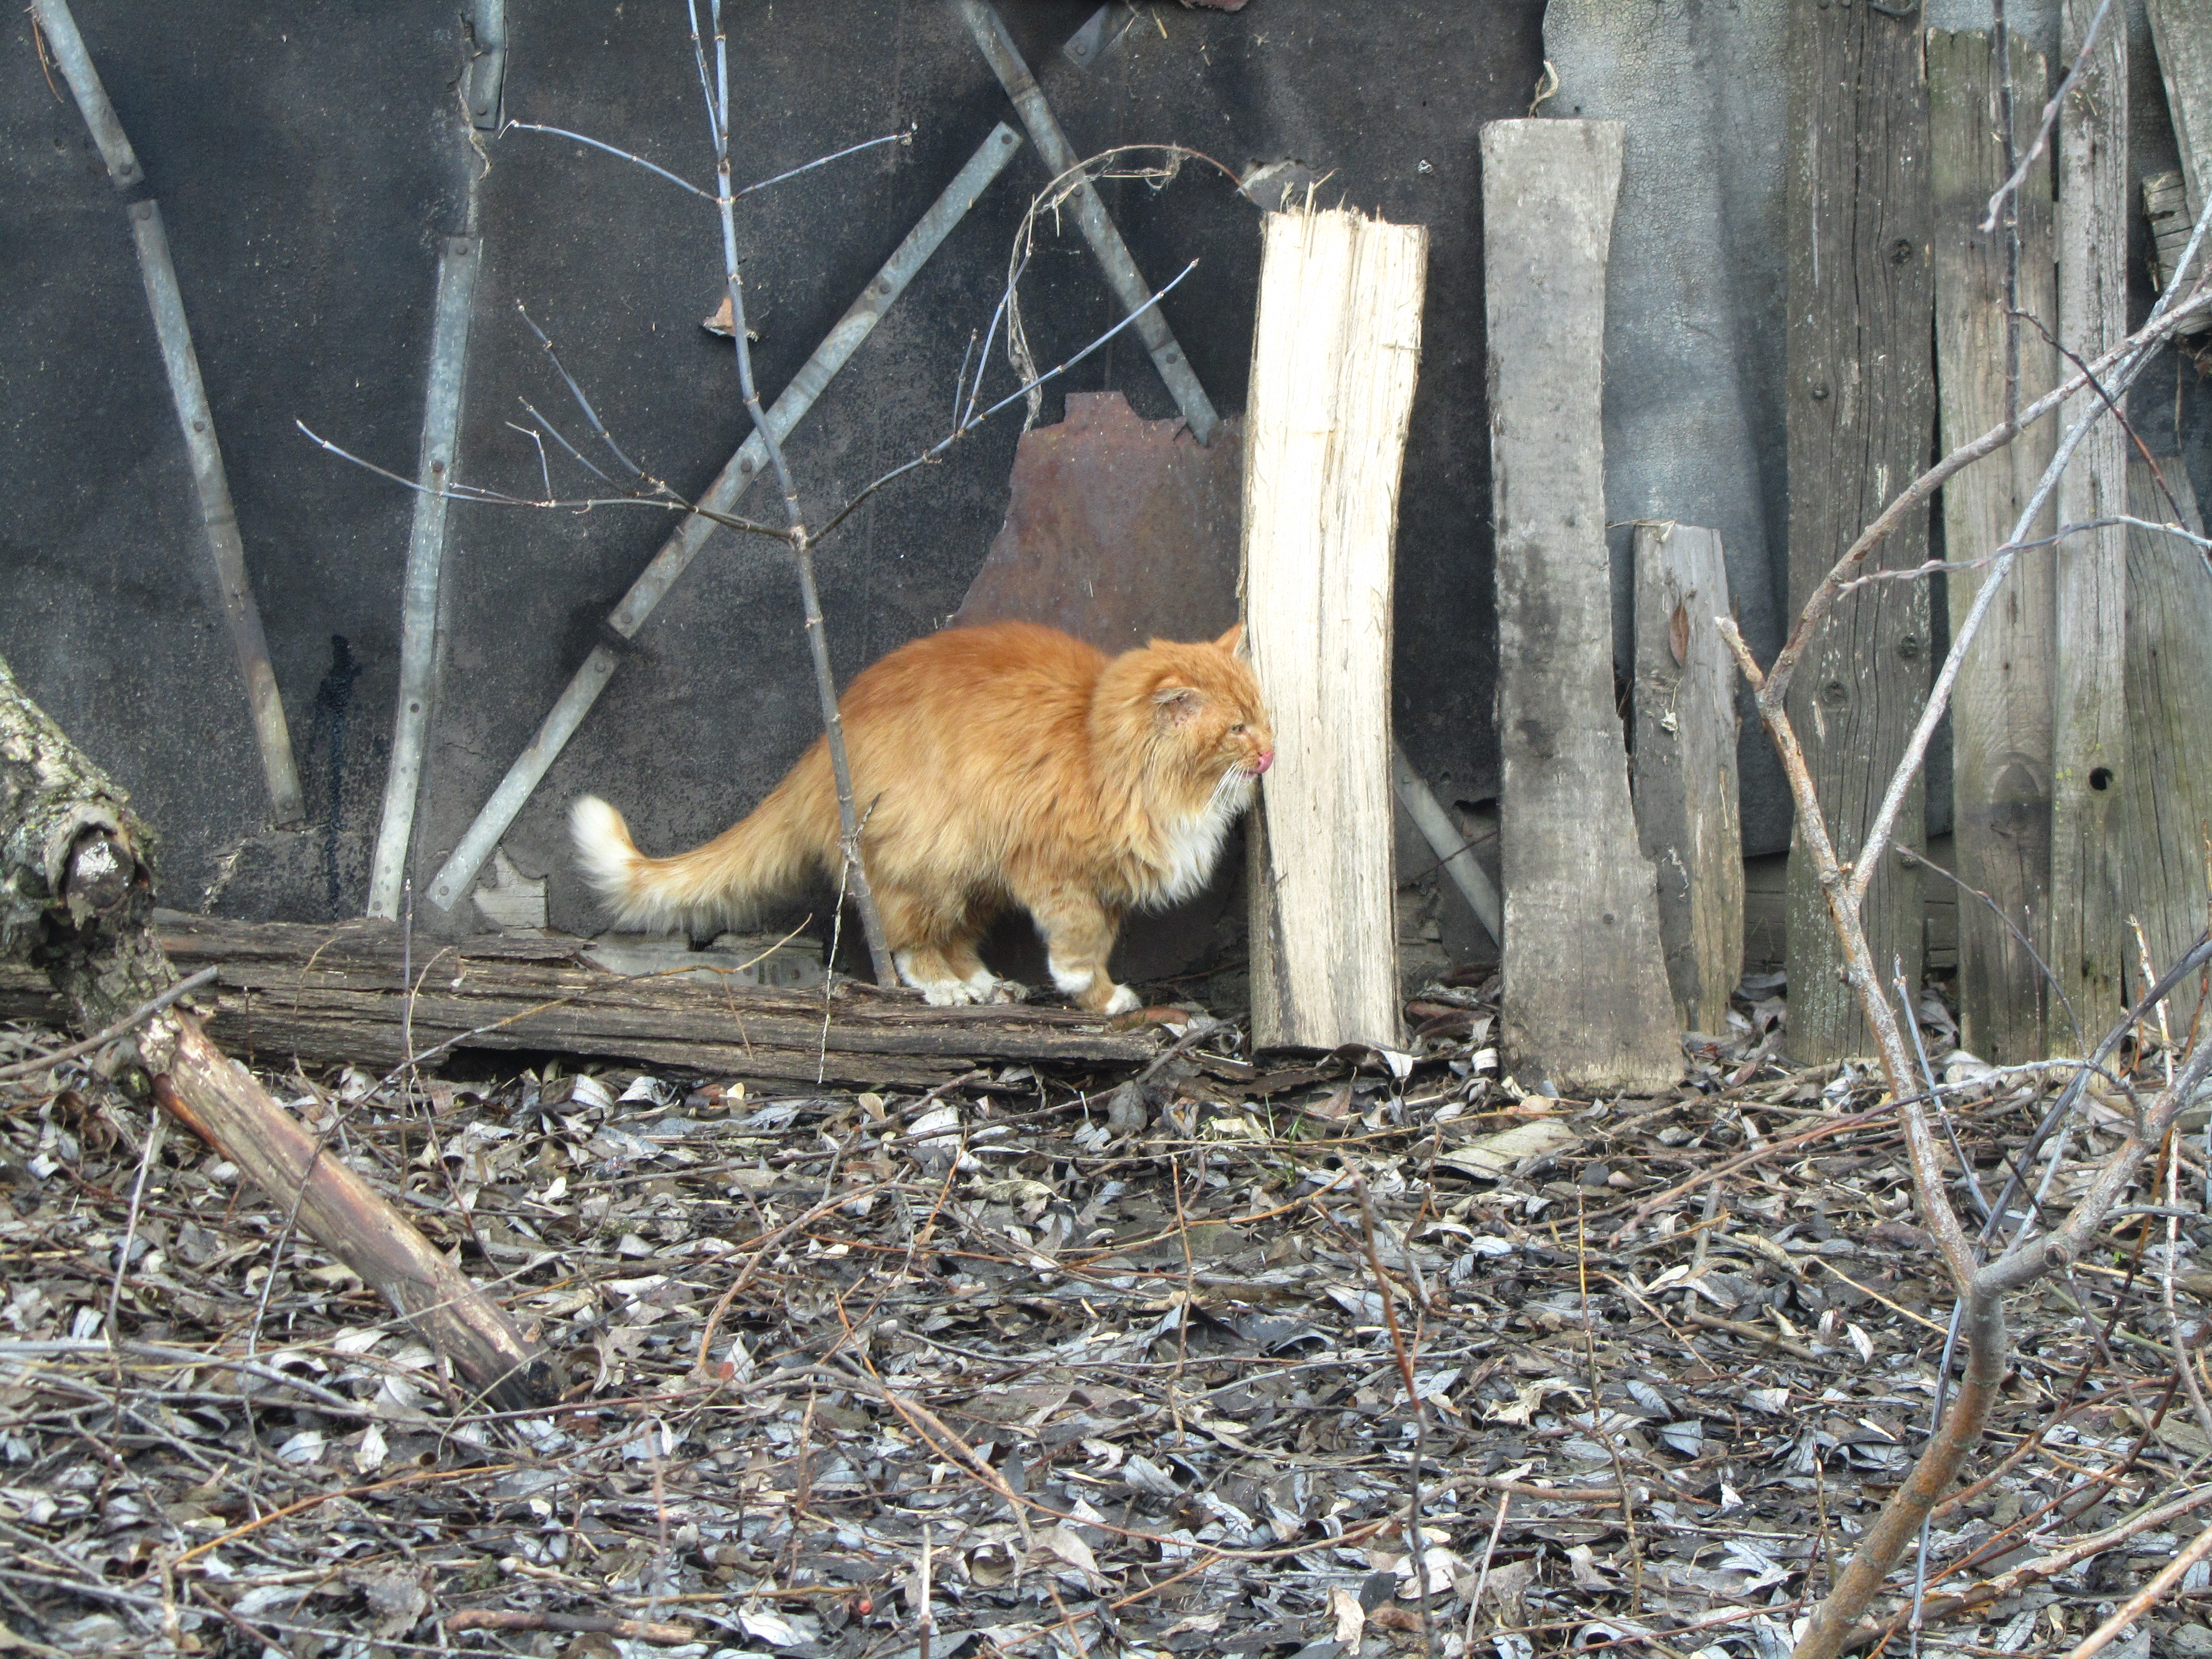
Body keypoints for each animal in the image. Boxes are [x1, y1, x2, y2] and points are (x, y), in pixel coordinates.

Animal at [562, 619, 1274, 1022]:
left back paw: (986, 985)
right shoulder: (1051, 870)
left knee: (956, 938)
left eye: (1262, 716)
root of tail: (819, 755)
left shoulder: (1104, 882)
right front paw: (1095, 996)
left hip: (973, 874)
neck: (1103, 752)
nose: (1270, 752)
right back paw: (948, 991)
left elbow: (1100, 937)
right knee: (912, 942)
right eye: (1236, 730)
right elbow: (1080, 944)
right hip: (934, 858)